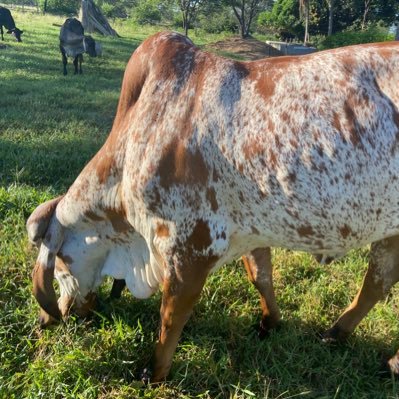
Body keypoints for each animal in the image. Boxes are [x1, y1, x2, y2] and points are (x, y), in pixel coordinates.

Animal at [28, 32, 399, 382]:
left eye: (60, 263)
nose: (48, 319)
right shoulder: (251, 231)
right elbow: (261, 276)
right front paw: (270, 322)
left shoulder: (190, 247)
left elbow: (170, 319)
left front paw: (154, 373)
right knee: (378, 281)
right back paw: (337, 334)